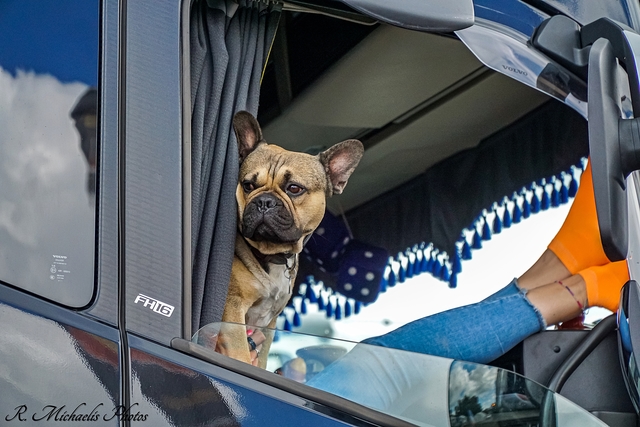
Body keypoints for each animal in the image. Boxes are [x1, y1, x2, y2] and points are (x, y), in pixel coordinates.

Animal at [216, 112, 362, 370]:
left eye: (294, 188)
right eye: (248, 185)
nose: (264, 201)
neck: (273, 254)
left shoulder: (269, 325)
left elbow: (262, 357)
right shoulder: (232, 310)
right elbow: (241, 354)